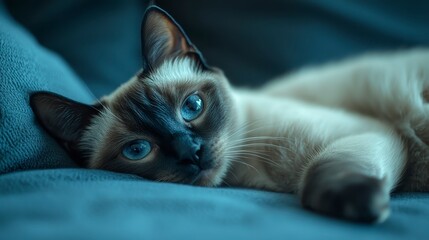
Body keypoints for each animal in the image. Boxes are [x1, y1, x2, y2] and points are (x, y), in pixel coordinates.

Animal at [30, 5, 428, 223]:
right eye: (138, 150)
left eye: (192, 107)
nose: (192, 153)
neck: (251, 173)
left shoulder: (366, 132)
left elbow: (318, 174)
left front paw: (364, 207)